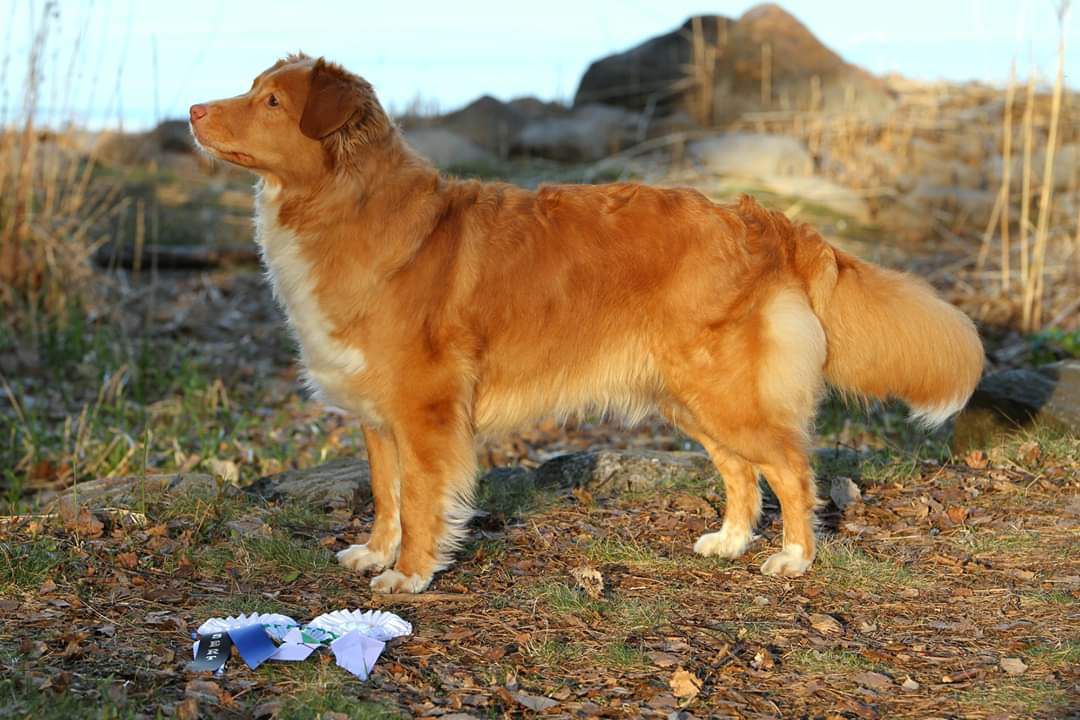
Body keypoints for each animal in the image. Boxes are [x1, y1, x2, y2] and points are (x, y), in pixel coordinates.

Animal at [190, 56, 984, 595]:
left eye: (270, 101)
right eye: (253, 89)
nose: (194, 109)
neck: (349, 203)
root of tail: (763, 219)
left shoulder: (424, 413)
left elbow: (421, 500)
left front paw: (410, 575)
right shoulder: (379, 416)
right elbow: (388, 495)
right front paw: (376, 552)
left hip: (724, 392)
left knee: (789, 466)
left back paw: (793, 556)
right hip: (690, 395)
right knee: (739, 469)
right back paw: (730, 541)